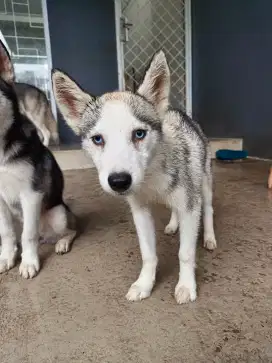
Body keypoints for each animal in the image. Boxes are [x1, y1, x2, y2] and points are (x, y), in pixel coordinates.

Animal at [0, 40, 76, 278]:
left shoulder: (31, 194)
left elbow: (28, 235)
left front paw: (29, 263)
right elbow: (7, 233)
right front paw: (7, 257)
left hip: (58, 214)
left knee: (70, 230)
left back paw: (62, 243)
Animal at [51, 49, 217, 304]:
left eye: (139, 134)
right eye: (97, 139)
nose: (119, 181)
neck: (152, 175)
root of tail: (177, 112)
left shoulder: (190, 205)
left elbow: (185, 252)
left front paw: (186, 285)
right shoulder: (140, 210)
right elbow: (148, 254)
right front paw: (144, 284)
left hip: (203, 182)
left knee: (208, 208)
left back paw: (209, 236)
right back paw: (173, 224)